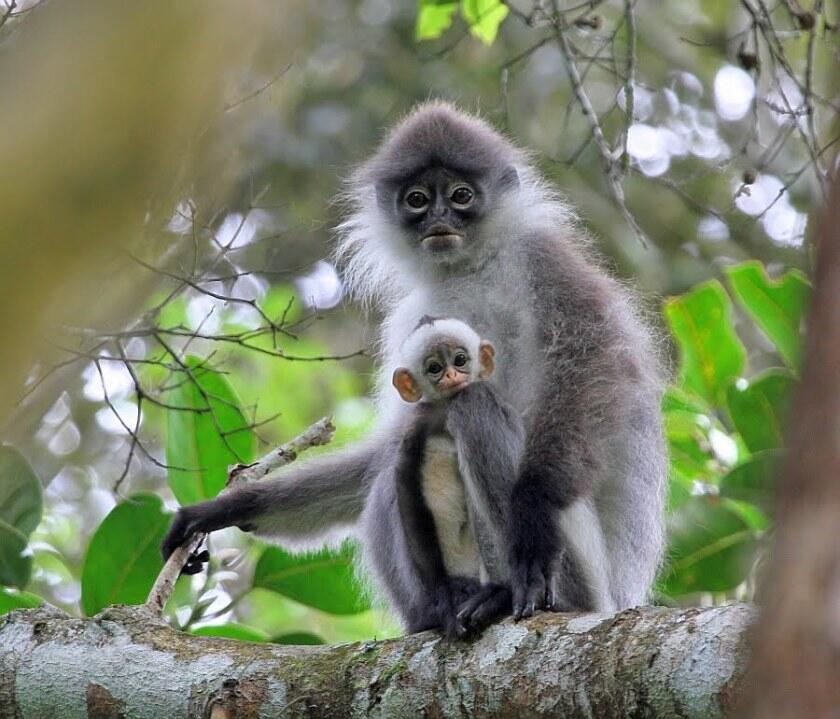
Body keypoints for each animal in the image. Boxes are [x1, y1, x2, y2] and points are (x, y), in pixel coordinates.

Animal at [161, 101, 668, 632]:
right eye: (419, 199)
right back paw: (435, 610)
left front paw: (534, 510)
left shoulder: (545, 261)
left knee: (472, 409)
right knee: (397, 456)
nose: (440, 217)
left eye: (462, 196)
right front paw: (225, 509)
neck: (466, 268)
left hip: (579, 574)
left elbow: (597, 366)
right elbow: (390, 442)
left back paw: (503, 594)